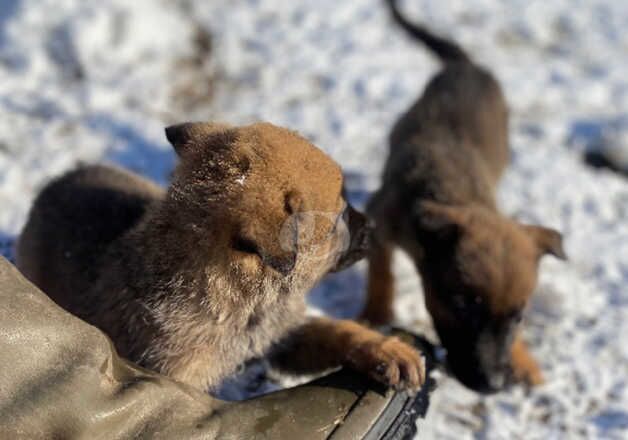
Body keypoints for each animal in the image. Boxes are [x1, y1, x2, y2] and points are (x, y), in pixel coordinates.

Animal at [18, 122, 426, 394]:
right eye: (336, 221)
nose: (372, 227)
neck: (243, 306)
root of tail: (56, 182)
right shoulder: (177, 380)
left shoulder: (280, 334)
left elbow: (334, 331)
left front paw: (389, 350)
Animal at [360, 0, 568, 392]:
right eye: (464, 305)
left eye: (519, 316)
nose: (493, 386)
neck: (457, 192)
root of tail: (468, 66)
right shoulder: (381, 218)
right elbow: (382, 272)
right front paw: (376, 314)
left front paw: (523, 358)